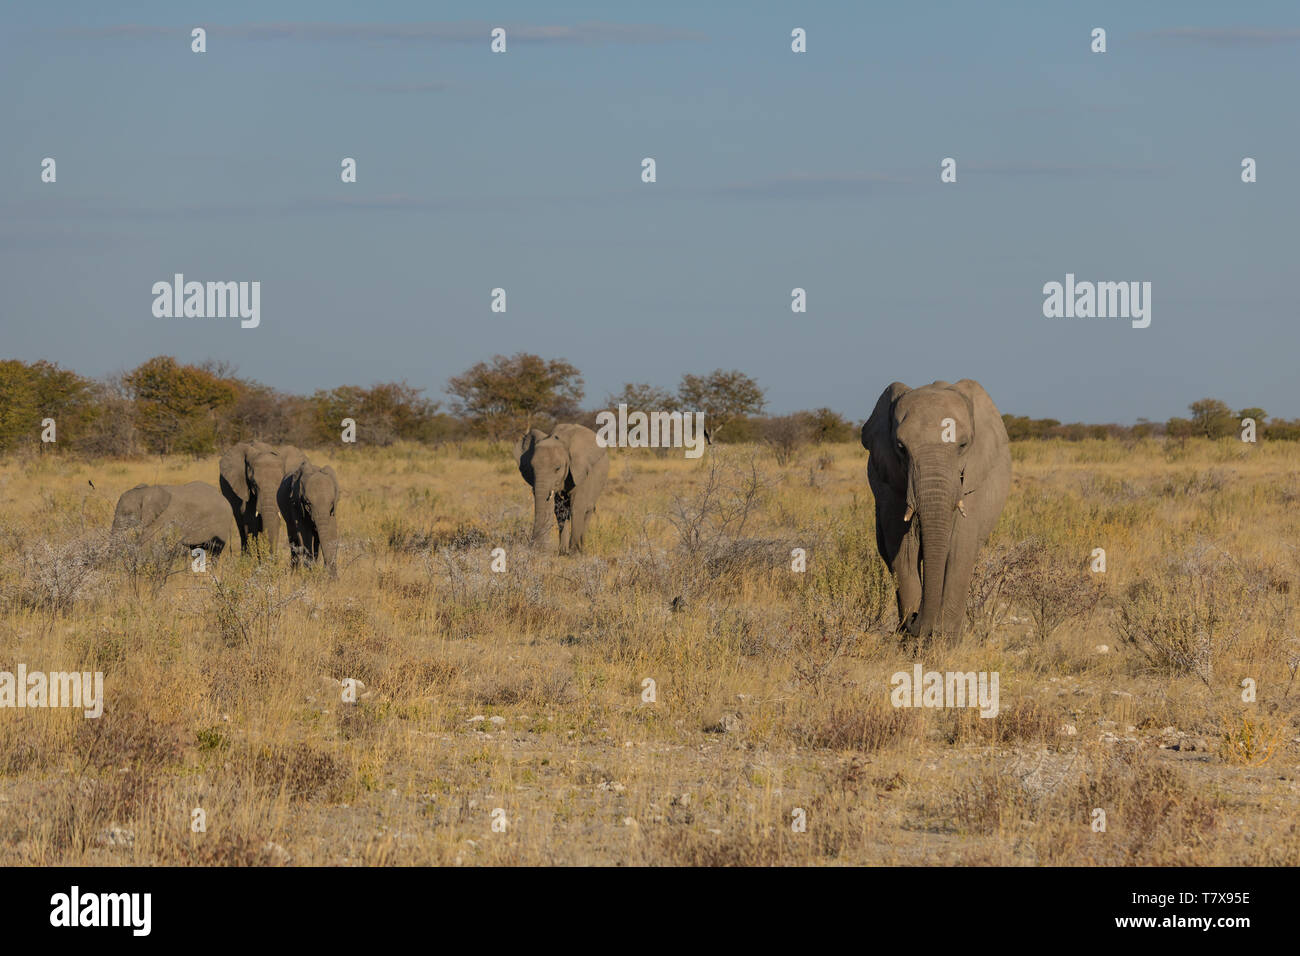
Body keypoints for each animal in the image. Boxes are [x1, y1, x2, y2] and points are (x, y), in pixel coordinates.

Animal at [512, 424, 608, 554]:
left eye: (557, 468)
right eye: (532, 468)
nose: (534, 546)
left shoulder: (580, 471)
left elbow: (577, 507)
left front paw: (574, 553)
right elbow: (559, 510)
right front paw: (563, 553)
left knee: (588, 509)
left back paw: (581, 549)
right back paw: (564, 551)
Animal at [863, 377, 1013, 639]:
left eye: (963, 445)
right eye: (900, 447)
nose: (914, 618)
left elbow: (959, 549)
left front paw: (944, 639)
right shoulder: (891, 487)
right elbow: (904, 551)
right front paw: (913, 640)